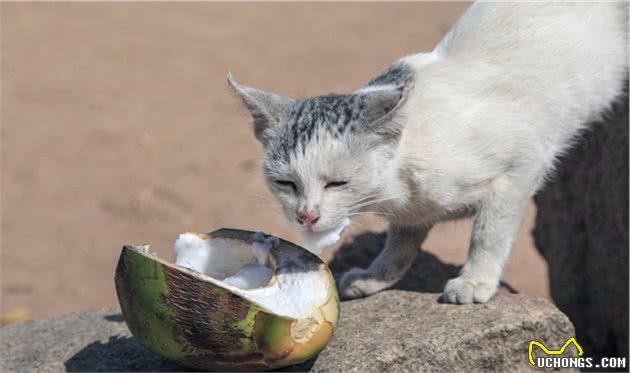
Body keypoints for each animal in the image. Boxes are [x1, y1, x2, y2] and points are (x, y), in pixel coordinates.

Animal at [227, 2, 628, 302]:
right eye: (286, 183)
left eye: (337, 183)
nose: (306, 216)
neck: (399, 189)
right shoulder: (411, 211)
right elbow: (401, 242)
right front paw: (376, 276)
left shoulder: (523, 165)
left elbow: (489, 232)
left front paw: (475, 281)